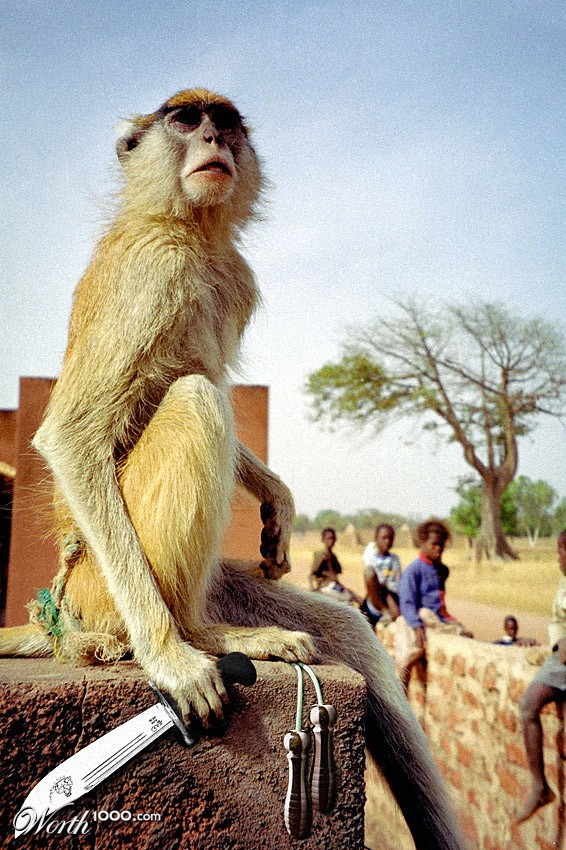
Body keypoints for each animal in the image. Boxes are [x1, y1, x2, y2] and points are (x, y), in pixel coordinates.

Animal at [1, 89, 467, 850]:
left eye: (224, 122)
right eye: (185, 120)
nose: (214, 139)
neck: (182, 223)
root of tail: (64, 614)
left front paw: (277, 501)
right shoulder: (156, 269)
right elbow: (70, 435)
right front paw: (170, 656)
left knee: (352, 634)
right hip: (106, 591)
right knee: (195, 402)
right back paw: (197, 635)